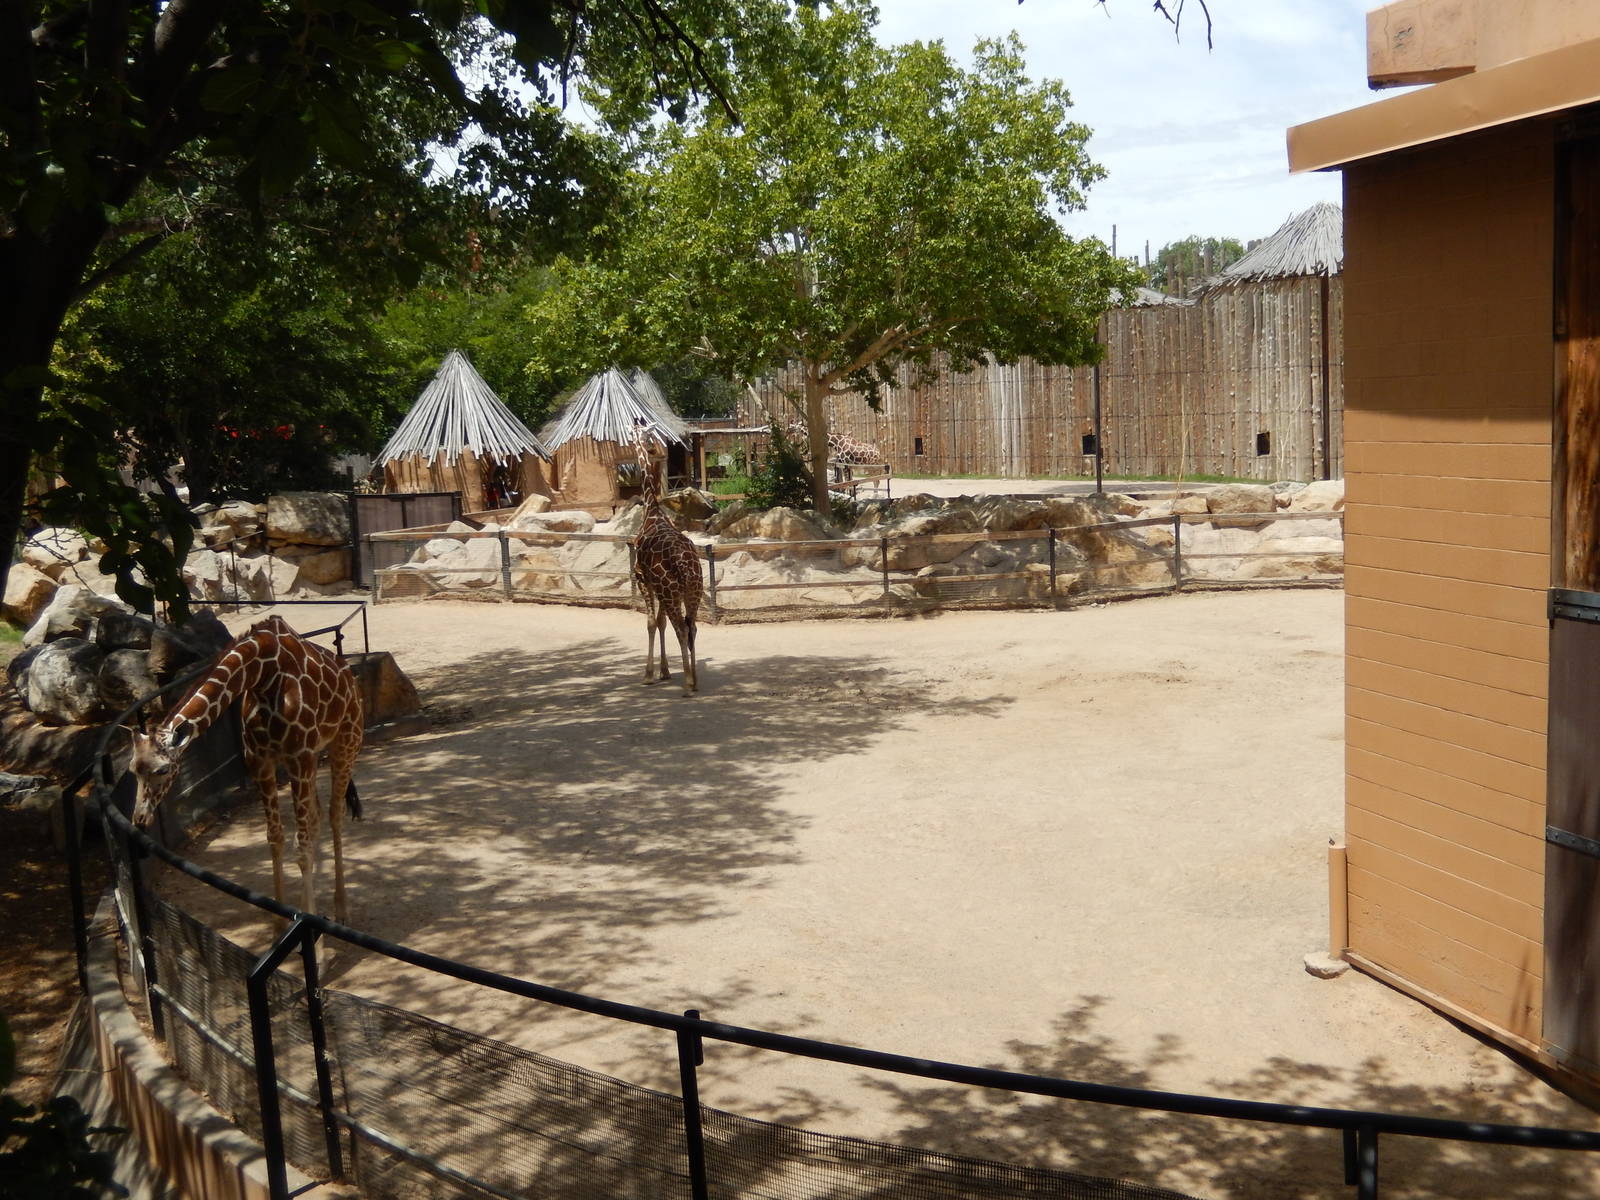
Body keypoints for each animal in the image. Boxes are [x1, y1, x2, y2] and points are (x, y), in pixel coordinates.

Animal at [129, 615, 365, 921]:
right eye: (133, 770)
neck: (262, 672)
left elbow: (301, 846)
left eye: (162, 770)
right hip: (311, 758)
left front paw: (311, 926)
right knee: (316, 816)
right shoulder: (260, 760)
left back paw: (342, 910)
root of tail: (351, 679)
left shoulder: (298, 756)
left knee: (335, 813)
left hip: (345, 742)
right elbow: (275, 838)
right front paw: (281, 925)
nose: (140, 818)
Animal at [630, 421, 702, 695]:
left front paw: (649, 674)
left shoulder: (642, 578)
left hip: (671, 591)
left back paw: (688, 683)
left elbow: (651, 623)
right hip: (692, 590)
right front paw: (664, 671)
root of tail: (686, 565)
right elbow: (660, 623)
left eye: (636, 433)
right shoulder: (658, 586)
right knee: (691, 627)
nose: (632, 435)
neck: (652, 511)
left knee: (681, 628)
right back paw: (694, 679)